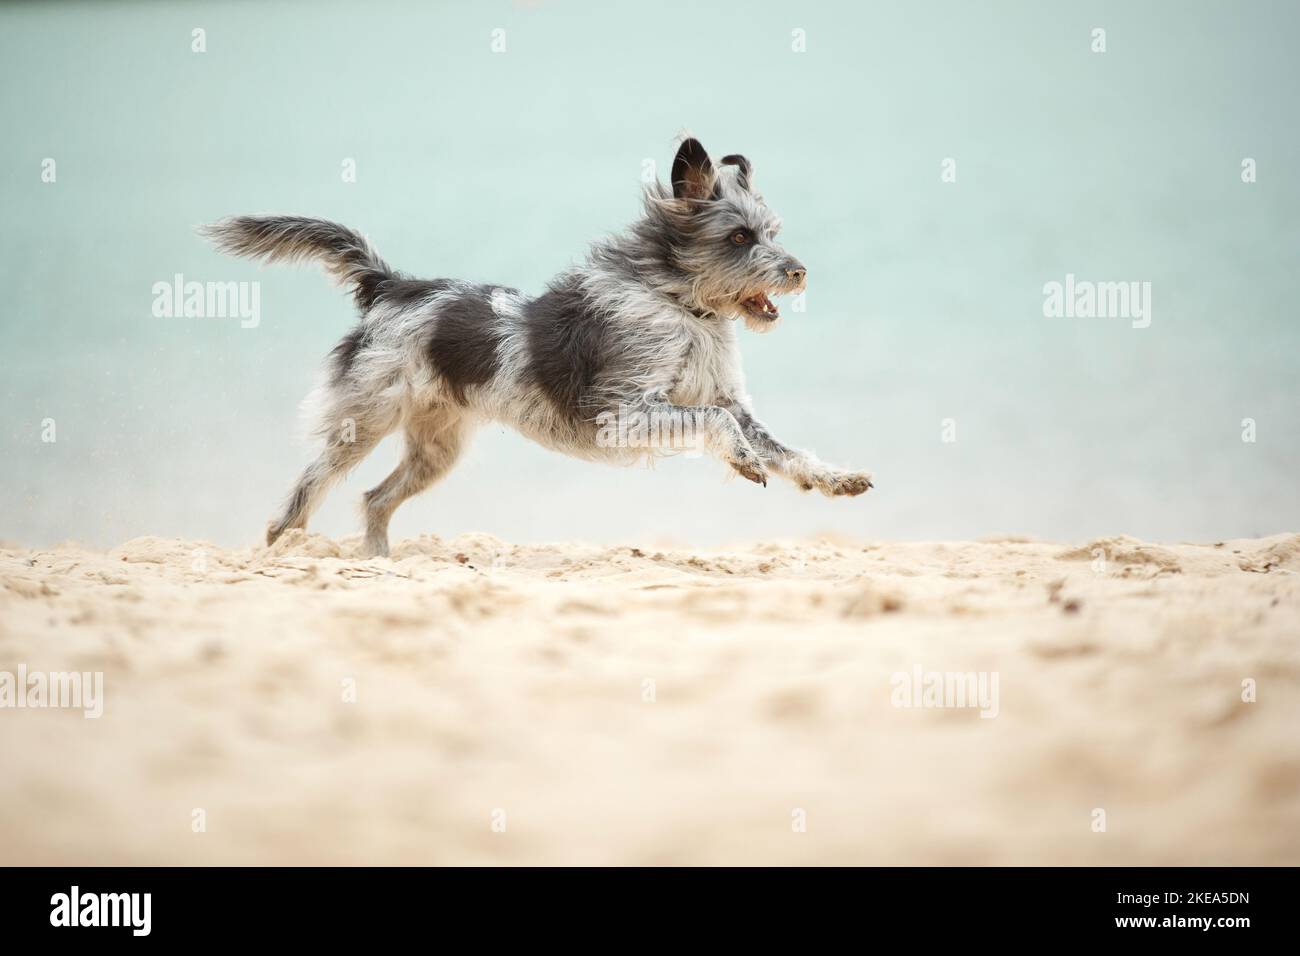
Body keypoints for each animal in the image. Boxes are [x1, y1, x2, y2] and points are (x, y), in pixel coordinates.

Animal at [205, 133, 873, 554]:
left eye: (772, 232)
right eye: (738, 237)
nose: (799, 272)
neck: (677, 306)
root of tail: (393, 286)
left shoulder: (726, 402)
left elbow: (783, 447)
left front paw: (833, 478)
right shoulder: (623, 414)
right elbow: (717, 424)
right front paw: (742, 459)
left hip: (436, 450)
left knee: (374, 499)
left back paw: (379, 562)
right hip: (359, 424)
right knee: (306, 490)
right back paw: (283, 546)